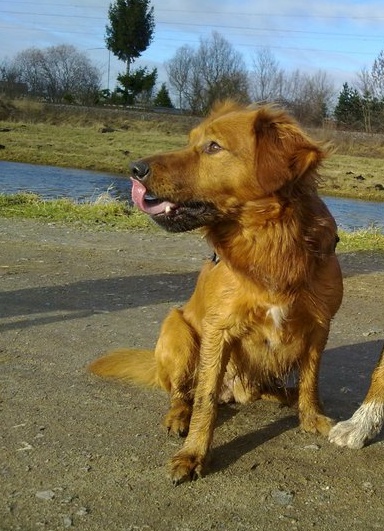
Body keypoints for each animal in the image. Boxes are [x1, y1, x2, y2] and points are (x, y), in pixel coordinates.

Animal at [89, 101, 342, 486]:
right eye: (190, 140)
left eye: (213, 146)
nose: (135, 169)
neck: (269, 245)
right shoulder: (218, 330)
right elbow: (205, 399)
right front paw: (193, 454)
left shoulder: (319, 326)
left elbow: (311, 378)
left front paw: (311, 416)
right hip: (176, 329)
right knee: (183, 394)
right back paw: (179, 415)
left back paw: (283, 395)